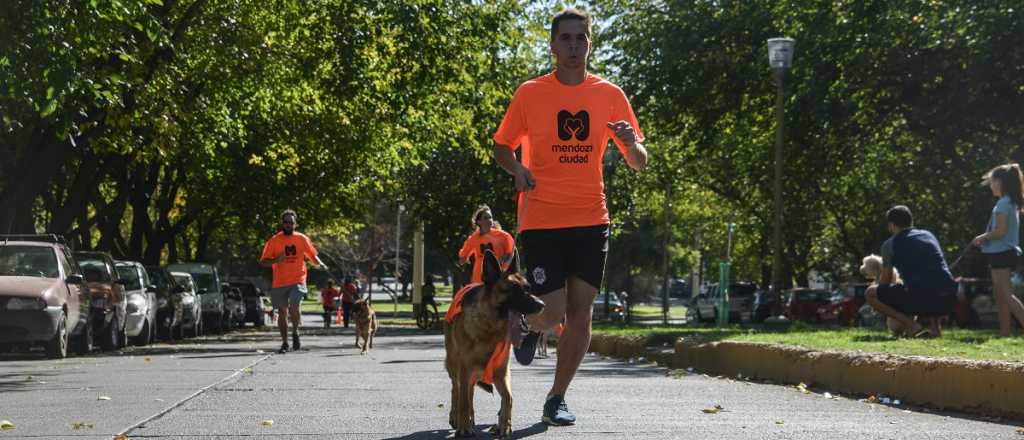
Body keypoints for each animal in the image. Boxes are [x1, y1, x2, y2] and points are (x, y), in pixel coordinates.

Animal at [446, 249, 548, 437]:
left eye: (528, 289)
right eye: (513, 291)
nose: (541, 304)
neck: (490, 328)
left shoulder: (501, 372)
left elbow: (508, 398)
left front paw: (504, 426)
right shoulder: (465, 370)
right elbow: (463, 401)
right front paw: (463, 428)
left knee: (470, 393)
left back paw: (472, 420)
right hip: (454, 366)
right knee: (457, 390)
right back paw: (457, 418)